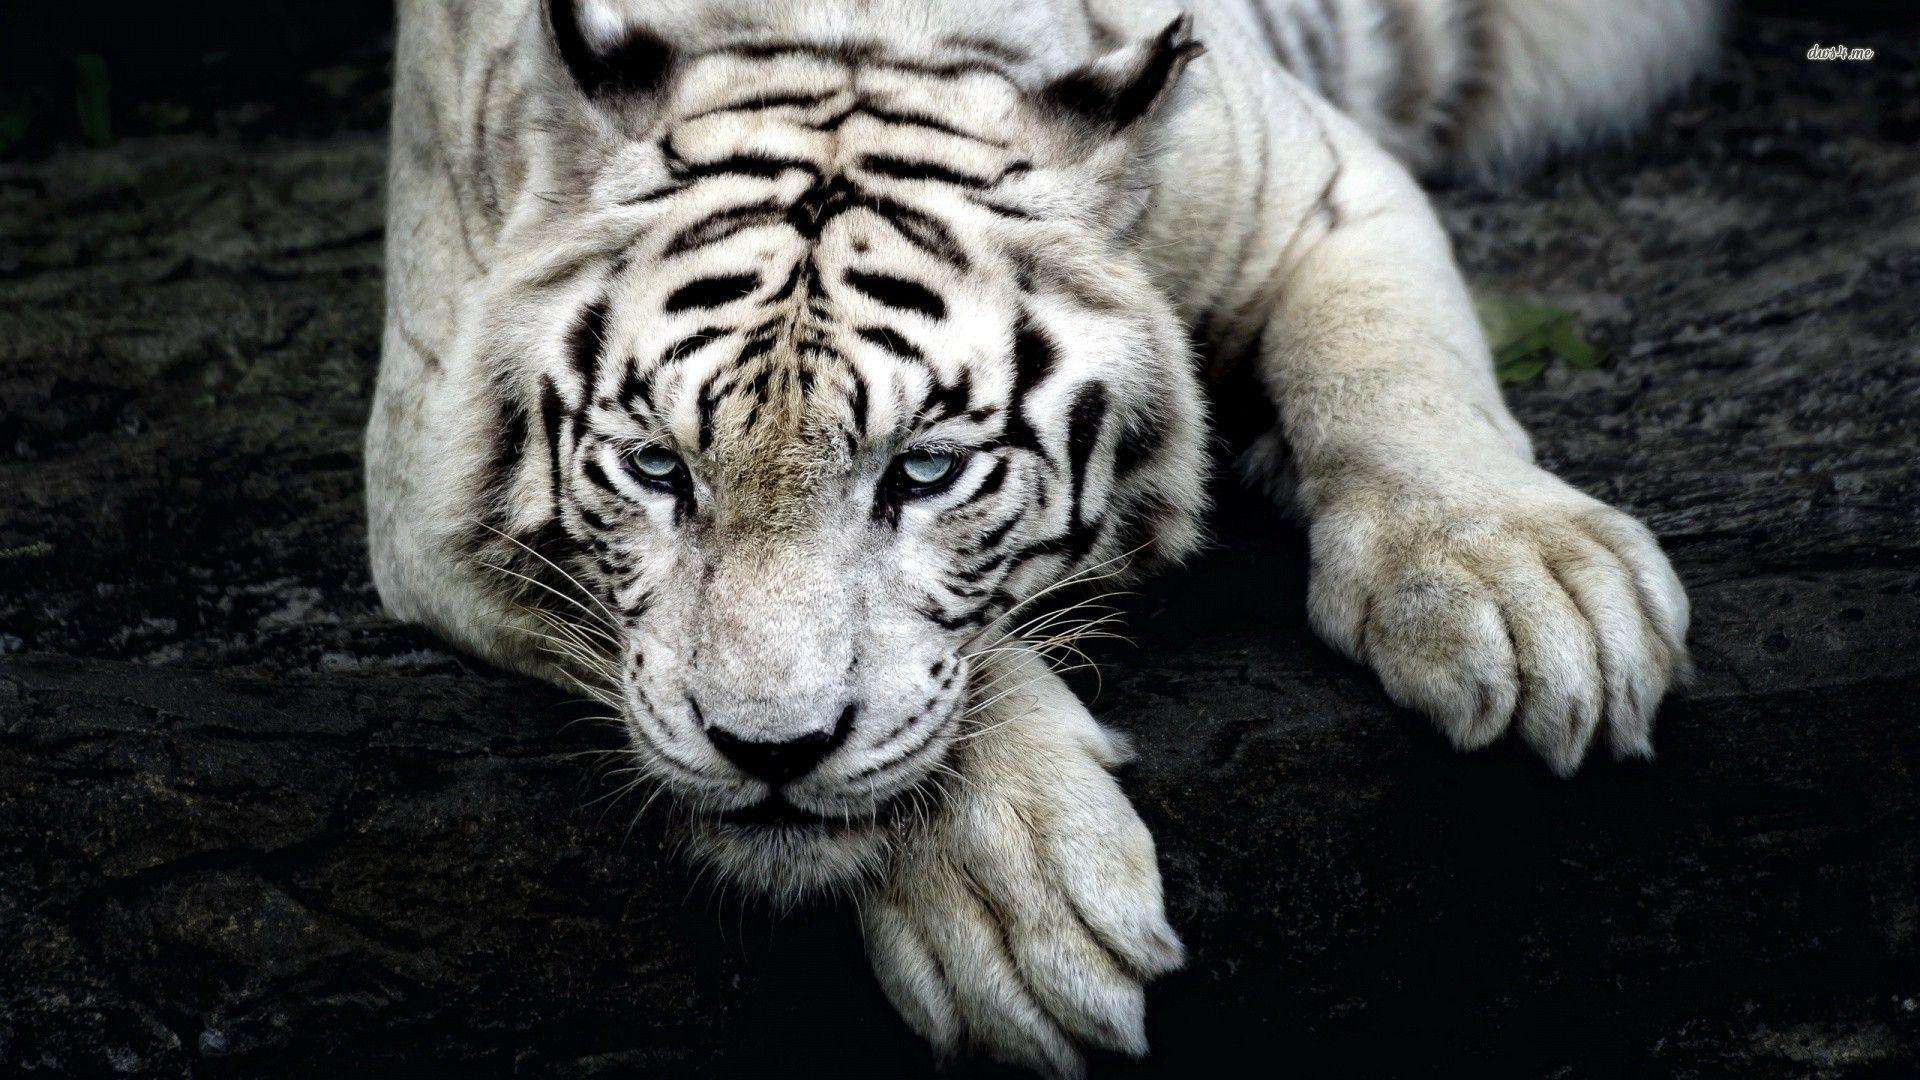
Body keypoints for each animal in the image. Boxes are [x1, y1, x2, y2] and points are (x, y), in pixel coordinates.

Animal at [366, 0, 1715, 1073]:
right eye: (657, 466)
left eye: (925, 469)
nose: (768, 751)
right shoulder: (422, 475)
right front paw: (1016, 903)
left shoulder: (1322, 185)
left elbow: (1395, 372)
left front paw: (1533, 595)